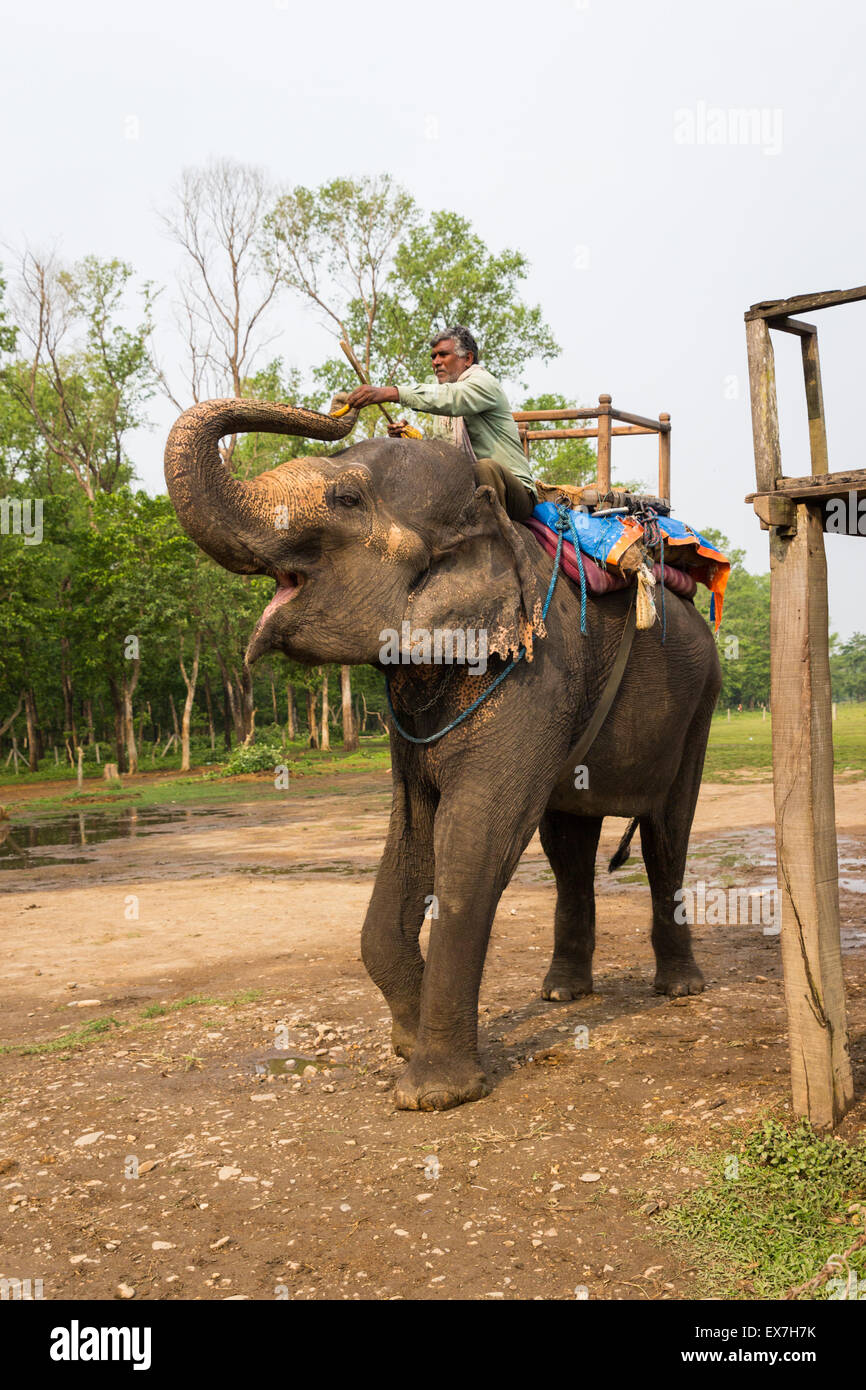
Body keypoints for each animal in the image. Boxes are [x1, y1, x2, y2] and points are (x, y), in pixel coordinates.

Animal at [164, 398, 722, 1111]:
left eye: (346, 500)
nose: (341, 409)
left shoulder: (536, 673)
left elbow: (474, 837)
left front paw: (432, 1095)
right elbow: (413, 830)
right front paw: (405, 1042)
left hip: (700, 701)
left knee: (664, 835)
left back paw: (678, 988)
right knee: (567, 846)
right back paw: (563, 994)